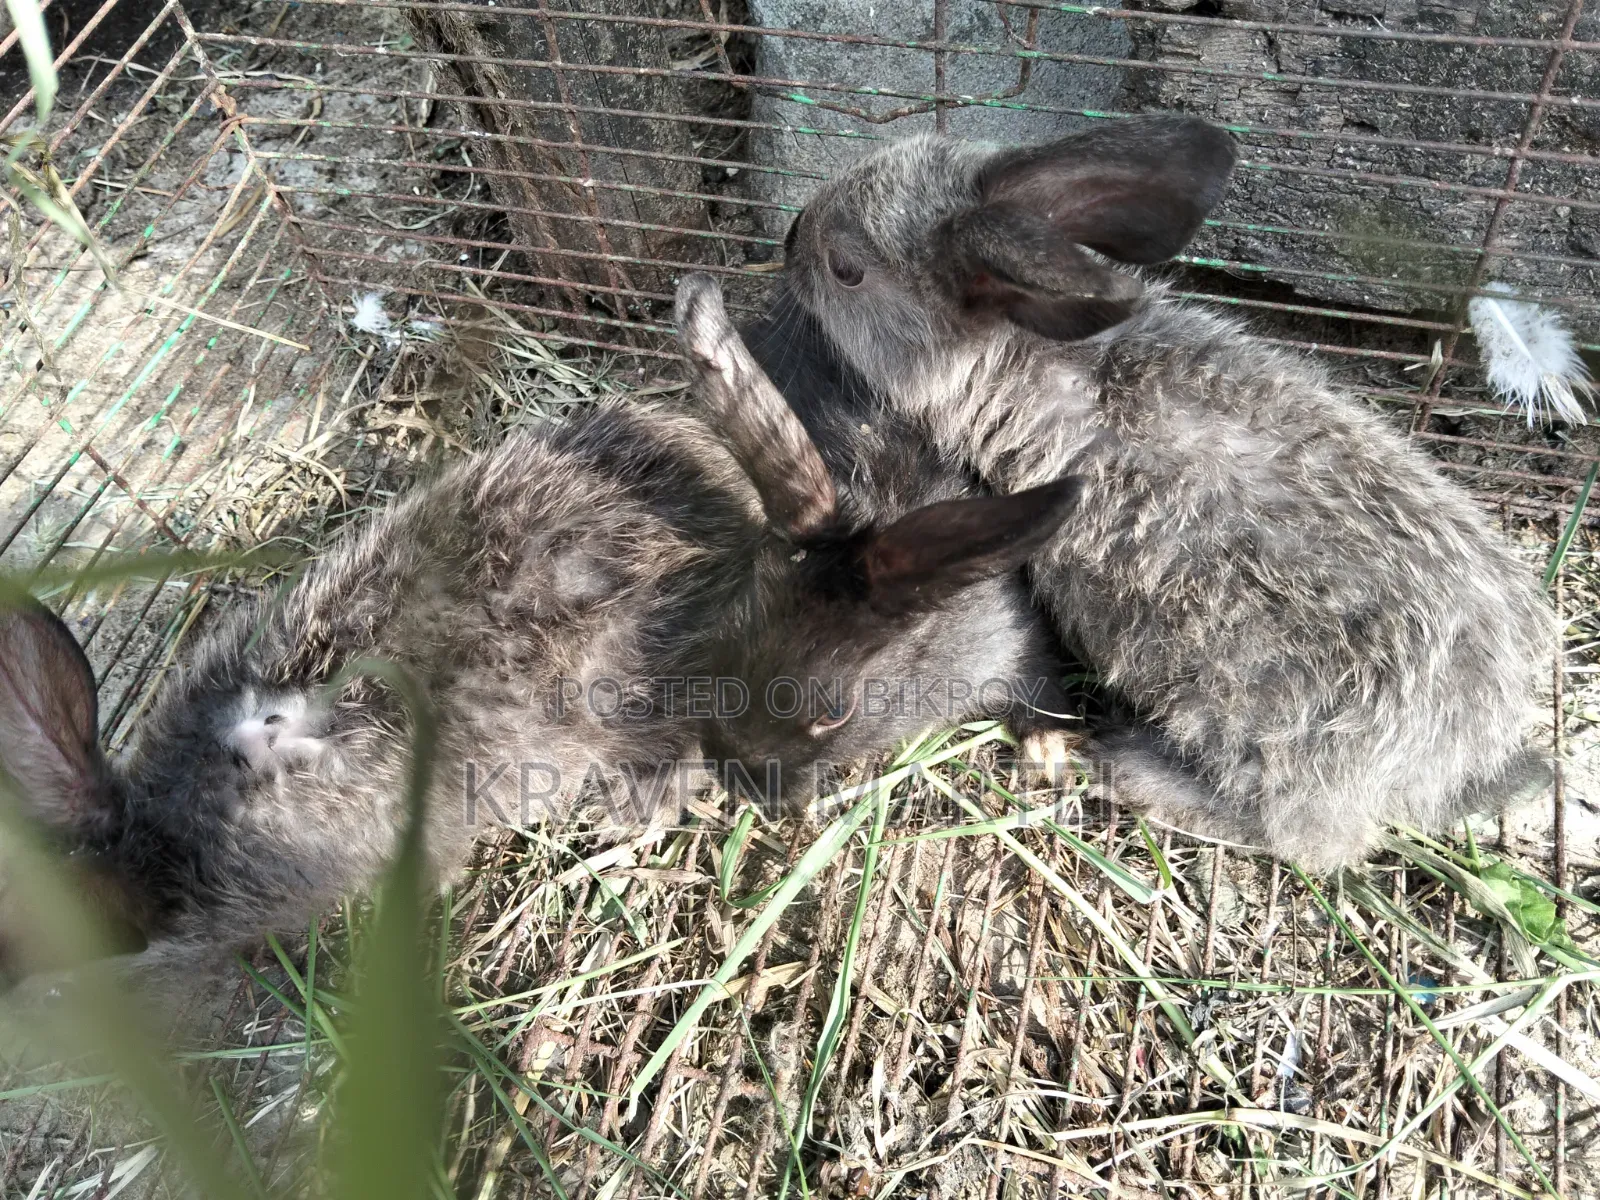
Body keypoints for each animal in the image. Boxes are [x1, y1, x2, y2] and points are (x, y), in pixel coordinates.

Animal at [760, 113, 1558, 870]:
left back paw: (1133, 769)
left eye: (845, 269)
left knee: (1307, 840)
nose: (791, 234)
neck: (1038, 363)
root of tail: (1465, 752)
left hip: (1273, 737)